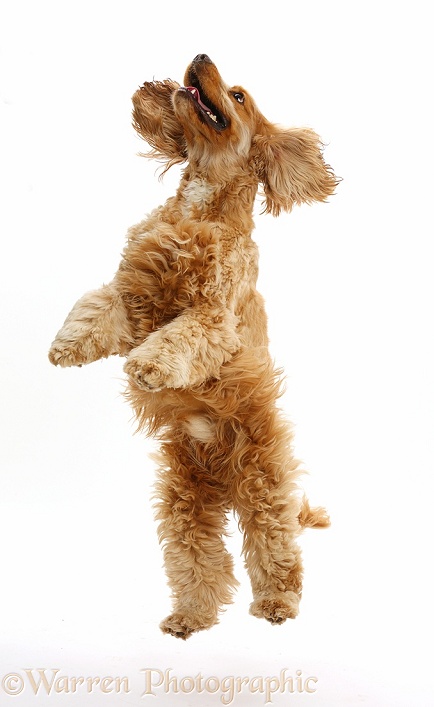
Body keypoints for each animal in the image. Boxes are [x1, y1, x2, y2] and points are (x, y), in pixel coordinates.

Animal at [48, 55, 340, 640]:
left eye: (239, 95)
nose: (200, 56)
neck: (201, 210)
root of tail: (226, 483)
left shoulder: (212, 318)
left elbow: (179, 338)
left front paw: (148, 367)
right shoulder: (133, 299)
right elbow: (95, 309)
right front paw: (65, 346)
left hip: (263, 485)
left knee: (276, 550)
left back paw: (277, 604)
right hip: (185, 498)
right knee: (200, 563)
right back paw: (190, 617)